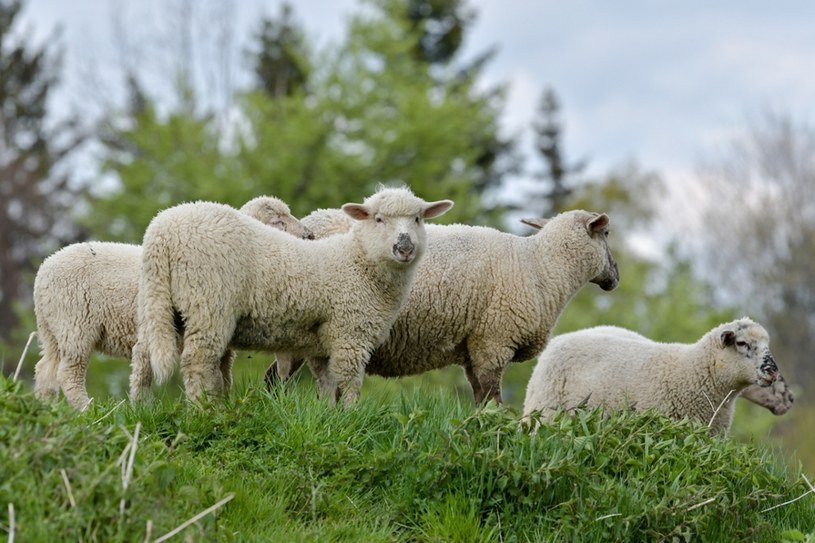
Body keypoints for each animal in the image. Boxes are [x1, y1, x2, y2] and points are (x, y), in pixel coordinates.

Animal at [30, 196, 308, 408]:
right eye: (278, 221)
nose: (308, 234)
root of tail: (43, 272)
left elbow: (223, 372)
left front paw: (223, 401)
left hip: (52, 330)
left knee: (46, 370)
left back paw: (49, 409)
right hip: (76, 325)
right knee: (69, 374)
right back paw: (87, 410)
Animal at [131, 186, 456, 404]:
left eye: (418, 219)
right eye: (378, 219)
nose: (405, 248)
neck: (358, 262)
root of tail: (163, 231)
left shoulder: (324, 342)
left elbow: (326, 383)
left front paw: (328, 418)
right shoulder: (350, 334)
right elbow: (350, 384)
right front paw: (352, 419)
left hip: (158, 300)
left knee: (143, 355)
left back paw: (142, 407)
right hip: (208, 301)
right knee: (197, 360)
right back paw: (203, 411)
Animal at [268, 208, 620, 404]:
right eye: (606, 233)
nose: (615, 276)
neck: (541, 266)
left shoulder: (474, 347)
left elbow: (480, 398)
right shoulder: (494, 342)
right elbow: (493, 398)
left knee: (275, 378)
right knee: (282, 377)